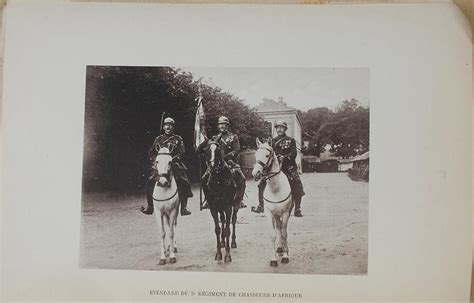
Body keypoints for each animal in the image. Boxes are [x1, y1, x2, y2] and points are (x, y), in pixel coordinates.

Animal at [252, 139, 292, 268]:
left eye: (267, 155)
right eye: (255, 155)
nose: (255, 173)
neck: (275, 188)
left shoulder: (285, 213)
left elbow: (284, 233)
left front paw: (285, 256)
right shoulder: (270, 214)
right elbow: (273, 235)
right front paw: (273, 259)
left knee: (283, 229)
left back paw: (284, 249)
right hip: (276, 215)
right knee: (278, 228)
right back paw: (279, 248)